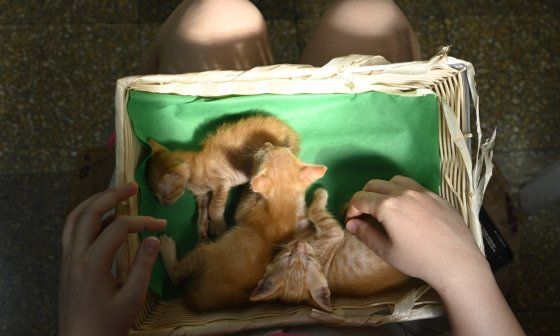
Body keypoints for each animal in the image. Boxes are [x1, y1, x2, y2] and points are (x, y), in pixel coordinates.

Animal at [147, 115, 300, 239]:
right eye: (156, 197)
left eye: (165, 195)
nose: (163, 204)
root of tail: (288, 129)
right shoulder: (202, 195)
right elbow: (203, 211)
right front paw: (202, 228)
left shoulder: (222, 183)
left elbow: (214, 208)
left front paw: (218, 226)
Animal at [159, 143, 328, 312]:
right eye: (279, 148)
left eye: (265, 153)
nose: (266, 144)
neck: (284, 200)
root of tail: (203, 302)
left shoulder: (243, 211)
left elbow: (244, 200)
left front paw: (249, 183)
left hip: (206, 253)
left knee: (176, 275)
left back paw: (167, 247)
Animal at [249, 188, 406, 312]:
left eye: (287, 255)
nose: (300, 245)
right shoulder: (333, 231)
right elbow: (314, 211)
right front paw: (321, 193)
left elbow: (306, 213)